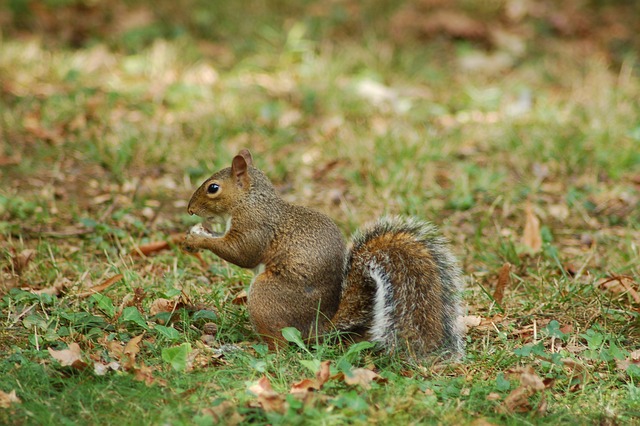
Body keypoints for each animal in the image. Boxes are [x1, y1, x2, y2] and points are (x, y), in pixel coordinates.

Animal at [182, 150, 462, 360]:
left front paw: (196, 239)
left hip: (265, 297)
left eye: (213, 188)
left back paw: (249, 349)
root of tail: (319, 326)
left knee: (279, 346)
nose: (190, 209)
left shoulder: (255, 227)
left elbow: (242, 254)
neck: (250, 201)